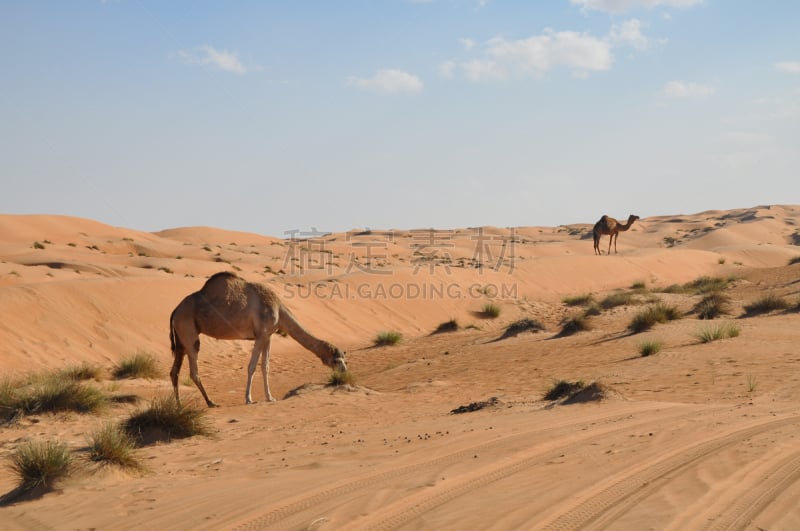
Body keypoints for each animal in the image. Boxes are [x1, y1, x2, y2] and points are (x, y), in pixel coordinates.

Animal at [167, 272, 346, 410]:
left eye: (344, 359)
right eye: (336, 360)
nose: (344, 371)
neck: (279, 310)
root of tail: (175, 310)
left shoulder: (268, 336)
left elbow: (265, 366)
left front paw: (270, 397)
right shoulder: (261, 334)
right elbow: (252, 366)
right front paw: (248, 398)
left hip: (181, 339)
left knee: (174, 371)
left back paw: (179, 405)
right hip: (189, 331)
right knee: (193, 370)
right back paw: (211, 402)